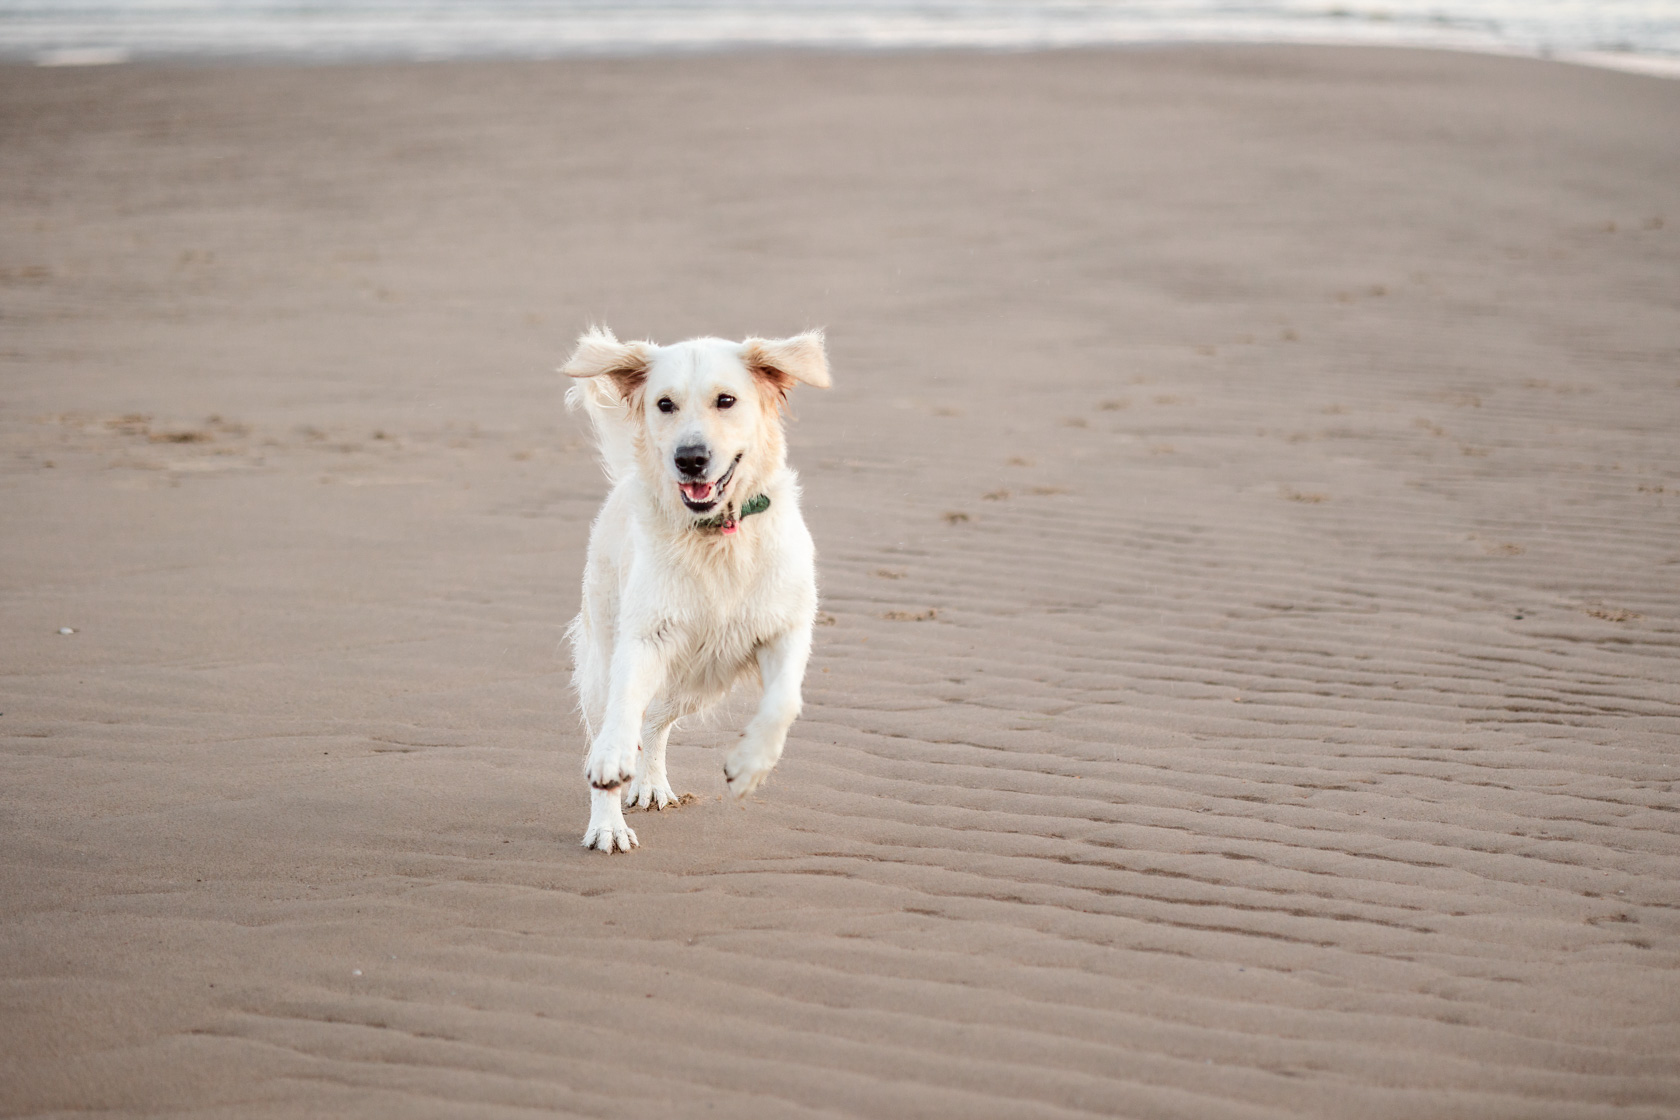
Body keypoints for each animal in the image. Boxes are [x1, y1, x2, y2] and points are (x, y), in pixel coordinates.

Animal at [561, 329, 829, 853]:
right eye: (664, 404)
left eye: (726, 400)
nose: (690, 459)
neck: (715, 534)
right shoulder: (645, 636)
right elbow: (622, 712)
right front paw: (612, 766)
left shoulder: (785, 626)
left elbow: (784, 702)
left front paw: (749, 766)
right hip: (608, 656)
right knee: (619, 715)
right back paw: (609, 823)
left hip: (698, 681)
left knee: (656, 721)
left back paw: (651, 784)